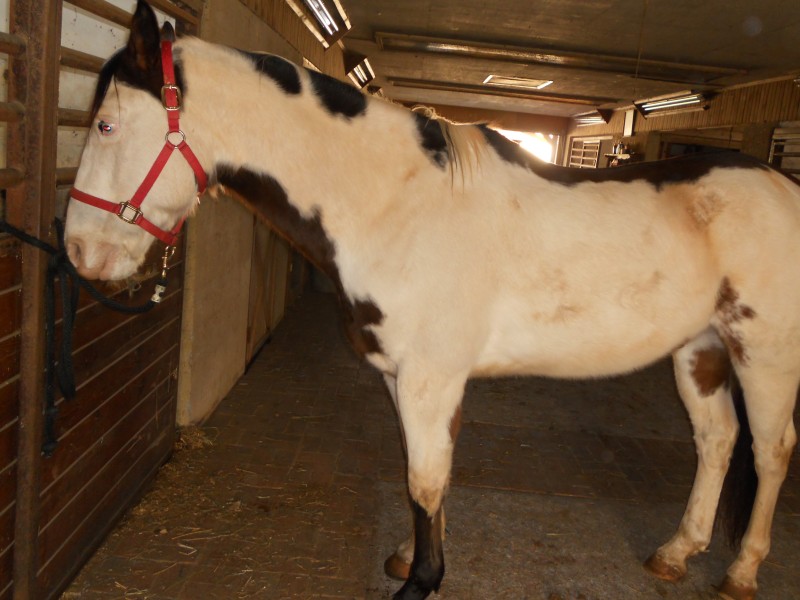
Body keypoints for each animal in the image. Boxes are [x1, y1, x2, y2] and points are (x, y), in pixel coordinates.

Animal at [64, 2, 799, 599]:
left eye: (104, 126)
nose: (78, 251)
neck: (398, 205)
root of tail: (783, 186)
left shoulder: (429, 378)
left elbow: (423, 478)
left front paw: (421, 582)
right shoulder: (404, 378)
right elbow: (427, 475)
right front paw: (409, 557)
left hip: (764, 356)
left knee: (770, 449)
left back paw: (740, 573)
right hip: (700, 350)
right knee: (716, 440)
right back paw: (678, 552)